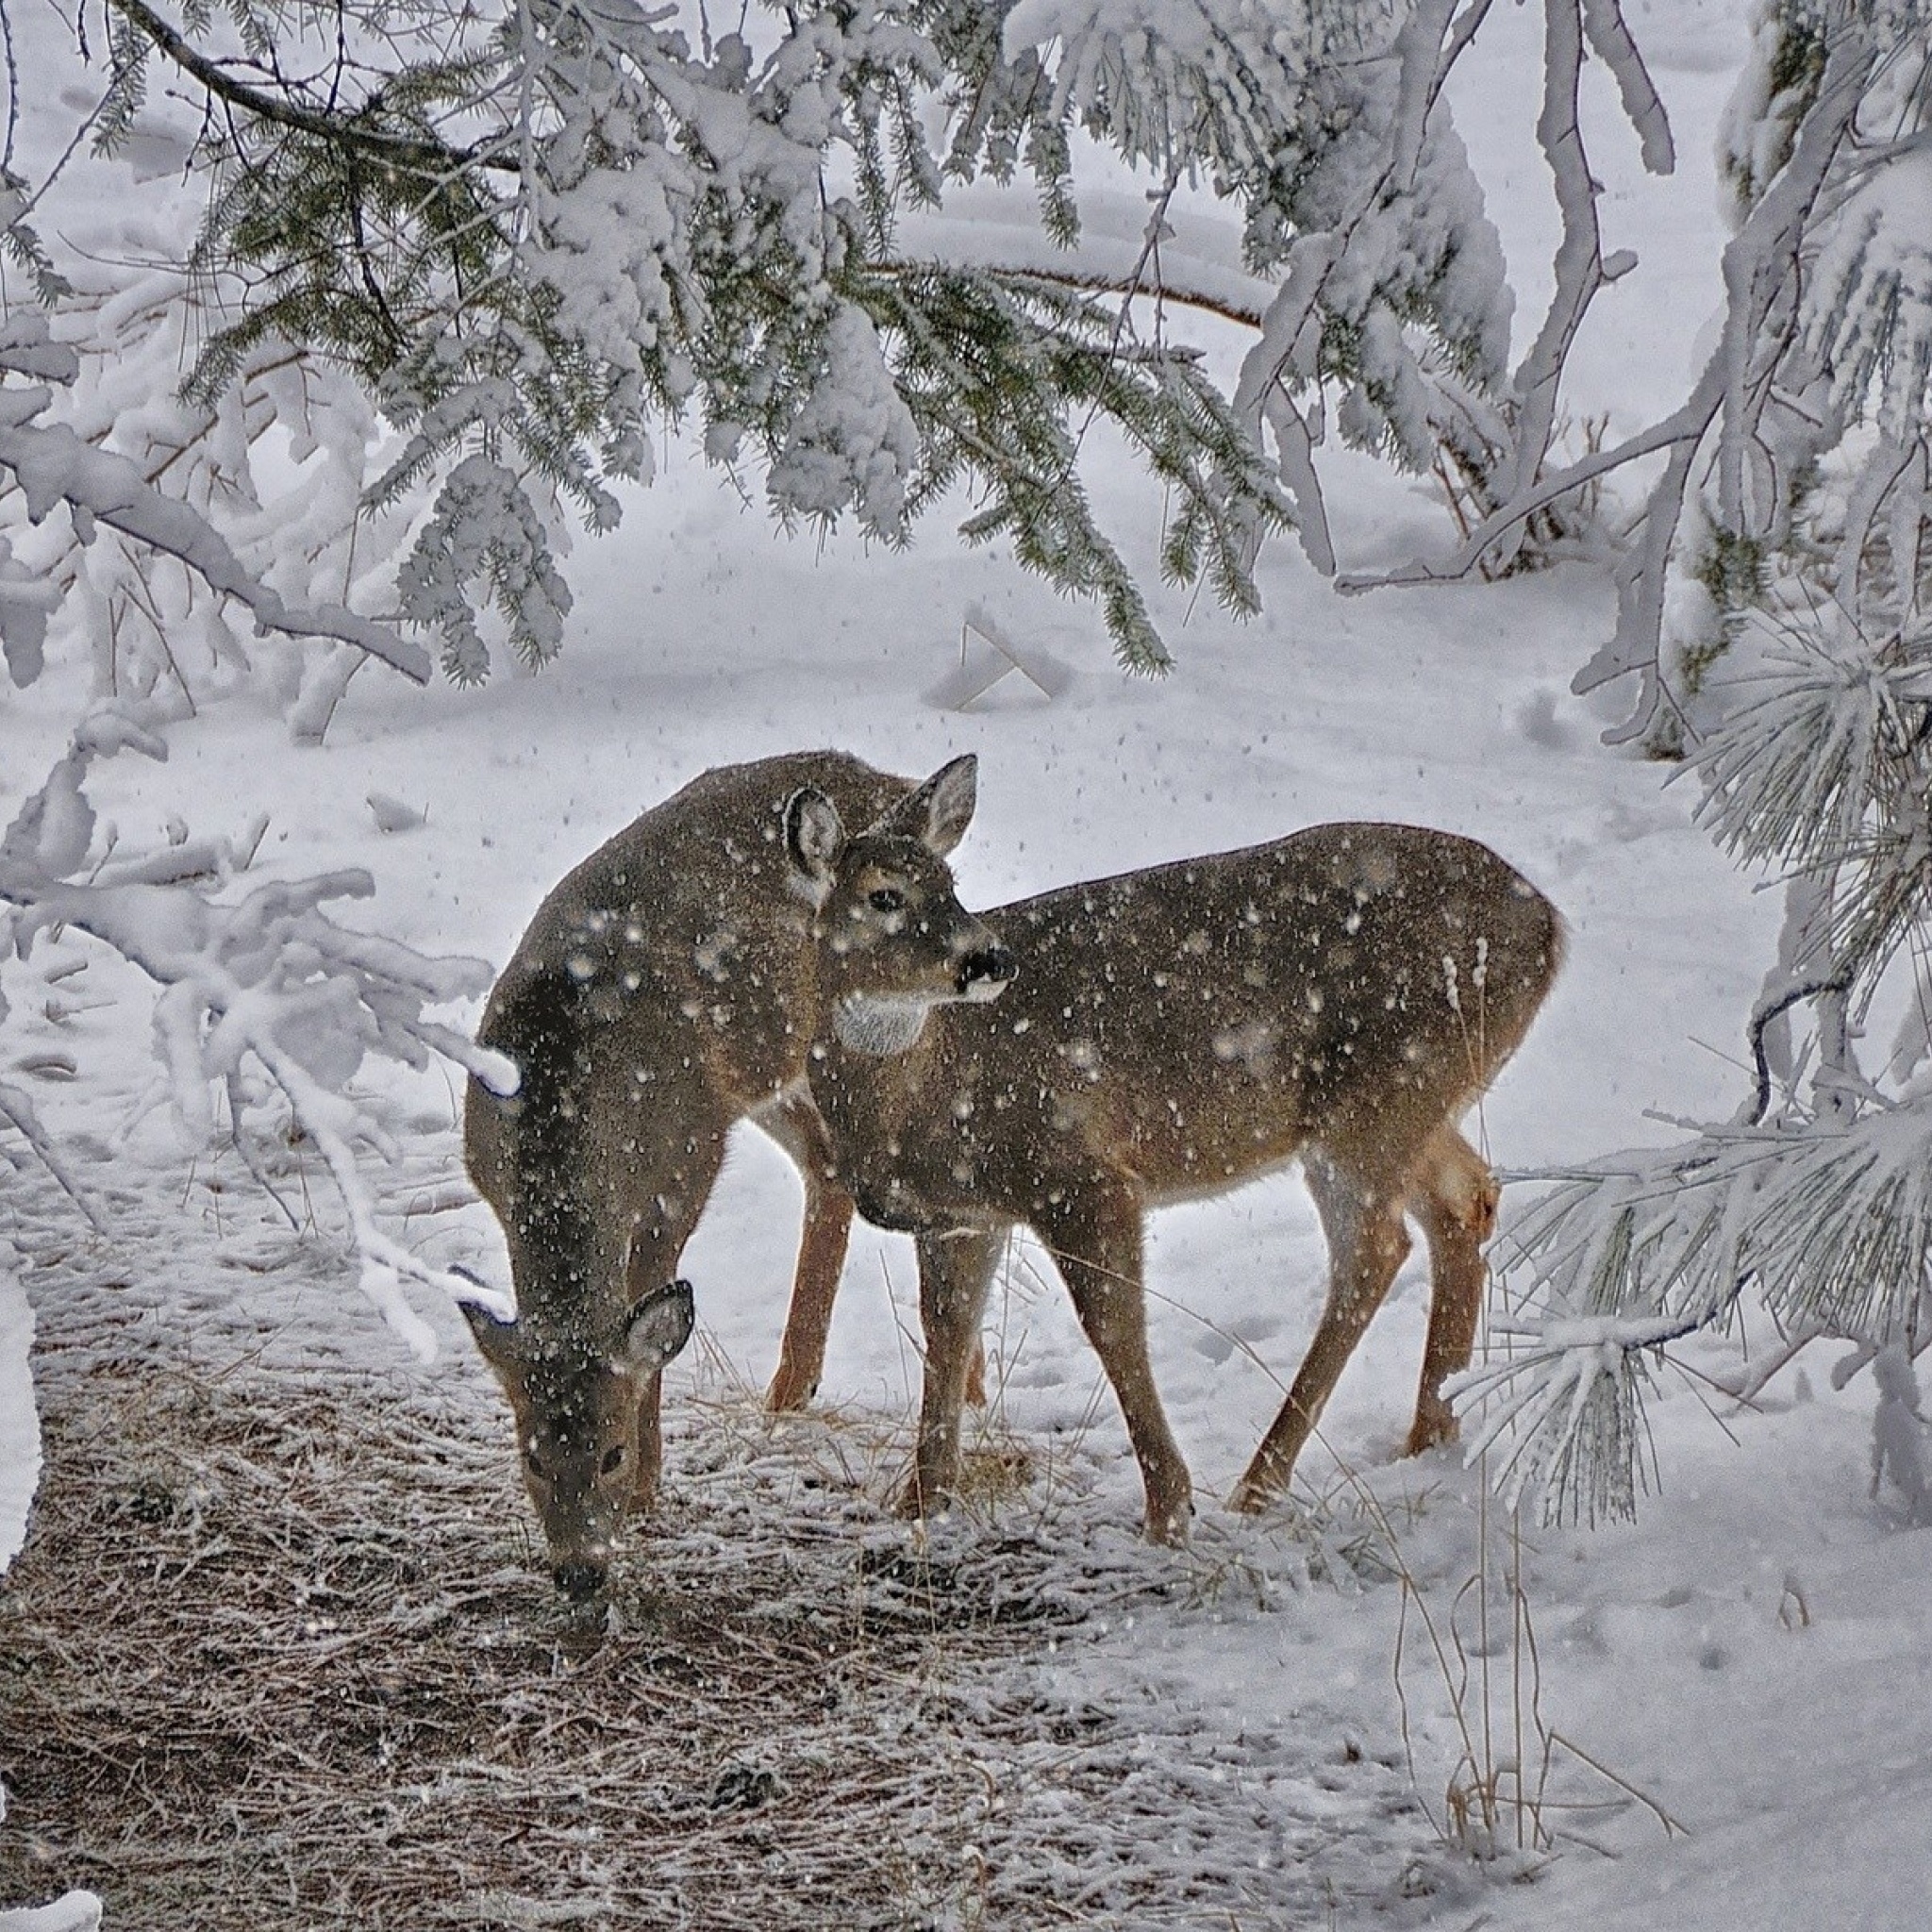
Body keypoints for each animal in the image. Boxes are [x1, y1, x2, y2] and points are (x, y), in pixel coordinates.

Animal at [459, 745, 950, 1591]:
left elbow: (650, 1324)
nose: (579, 1571)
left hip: (873, 1029)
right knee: (828, 1165)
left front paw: (650, 1492)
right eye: (531, 1458)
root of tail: (889, 783)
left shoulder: (683, 1165)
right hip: (768, 1069)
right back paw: (791, 1387)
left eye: (612, 1452)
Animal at [776, 749, 1560, 1538]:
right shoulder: (960, 1215)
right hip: (1415, 1102)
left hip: (1379, 1099)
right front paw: (918, 1502)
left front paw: (1168, 1507)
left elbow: (1113, 1325)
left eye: (950, 885)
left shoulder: (1080, 1172)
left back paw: (1260, 1484)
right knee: (1468, 1198)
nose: (988, 960)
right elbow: (946, 1333)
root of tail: (1551, 926)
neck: (920, 1091)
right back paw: (1431, 1434)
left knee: (1375, 1249)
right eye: (884, 895)